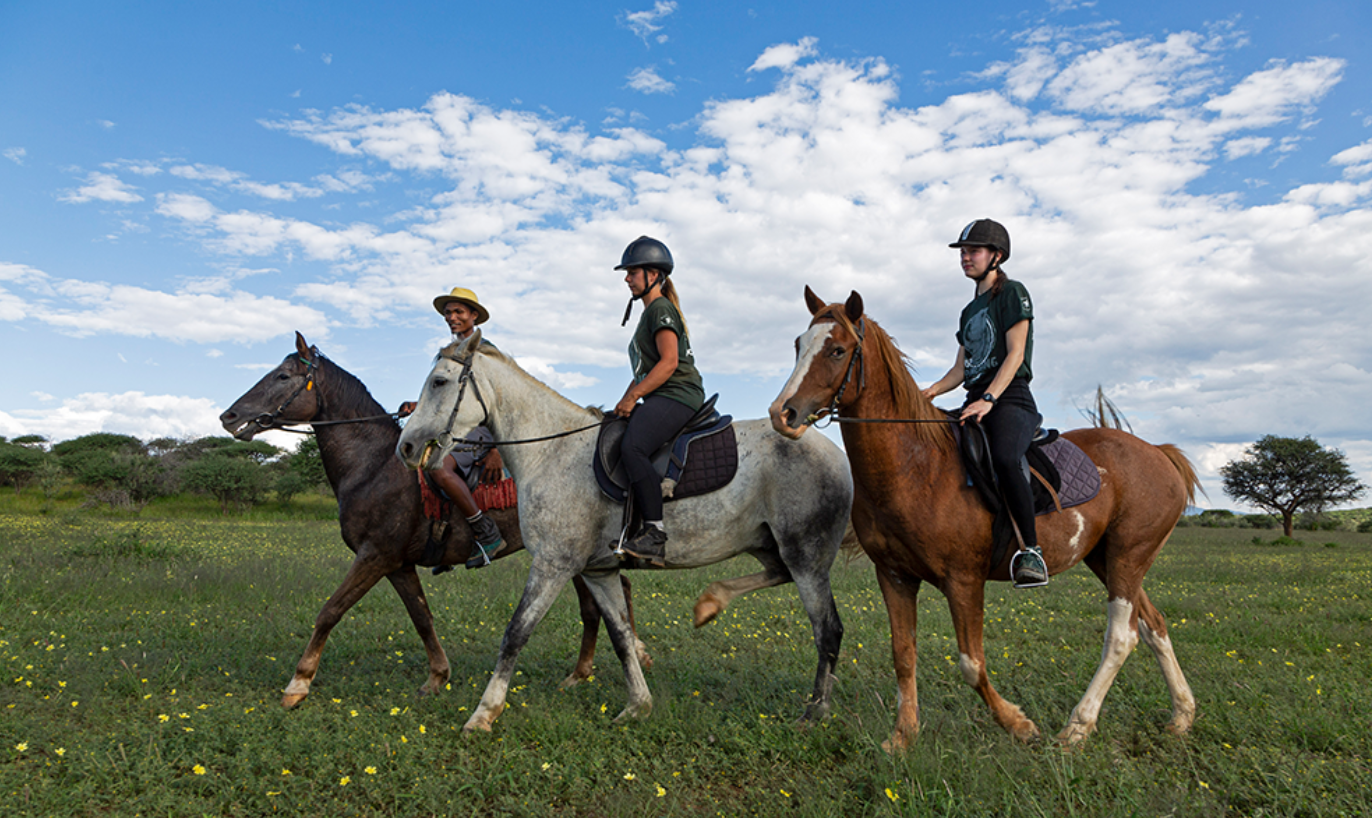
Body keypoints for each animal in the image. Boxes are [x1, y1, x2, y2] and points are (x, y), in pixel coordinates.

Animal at [219, 332, 648, 709]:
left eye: (283, 376)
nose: (229, 415)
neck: (375, 467)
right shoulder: (397, 564)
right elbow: (421, 617)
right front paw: (437, 677)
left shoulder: (374, 556)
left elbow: (330, 611)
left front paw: (298, 684)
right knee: (604, 600)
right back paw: (596, 666)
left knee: (596, 606)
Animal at [394, 330, 853, 732]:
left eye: (439, 381)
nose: (406, 447)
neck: (551, 451)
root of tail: (835, 453)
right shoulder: (598, 571)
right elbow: (620, 636)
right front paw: (637, 706)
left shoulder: (553, 565)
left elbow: (516, 633)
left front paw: (483, 714)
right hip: (769, 544)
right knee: (777, 575)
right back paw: (710, 603)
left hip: (807, 557)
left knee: (827, 629)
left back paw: (815, 712)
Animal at [769, 288, 1199, 751]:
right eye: (798, 345)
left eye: (837, 350)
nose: (782, 414)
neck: (917, 466)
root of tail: (1159, 453)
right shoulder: (895, 576)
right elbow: (903, 655)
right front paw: (902, 737)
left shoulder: (963, 580)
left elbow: (971, 664)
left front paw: (1018, 724)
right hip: (1106, 558)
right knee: (1154, 625)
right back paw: (1181, 716)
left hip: (1127, 556)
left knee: (1122, 636)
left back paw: (1077, 727)